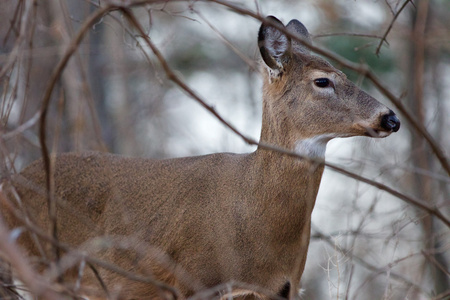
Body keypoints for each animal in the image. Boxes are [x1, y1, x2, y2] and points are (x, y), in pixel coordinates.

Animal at [0, 16, 400, 300]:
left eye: (345, 73)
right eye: (322, 81)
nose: (391, 118)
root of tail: (10, 183)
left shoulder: (283, 287)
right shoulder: (192, 279)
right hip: (38, 262)